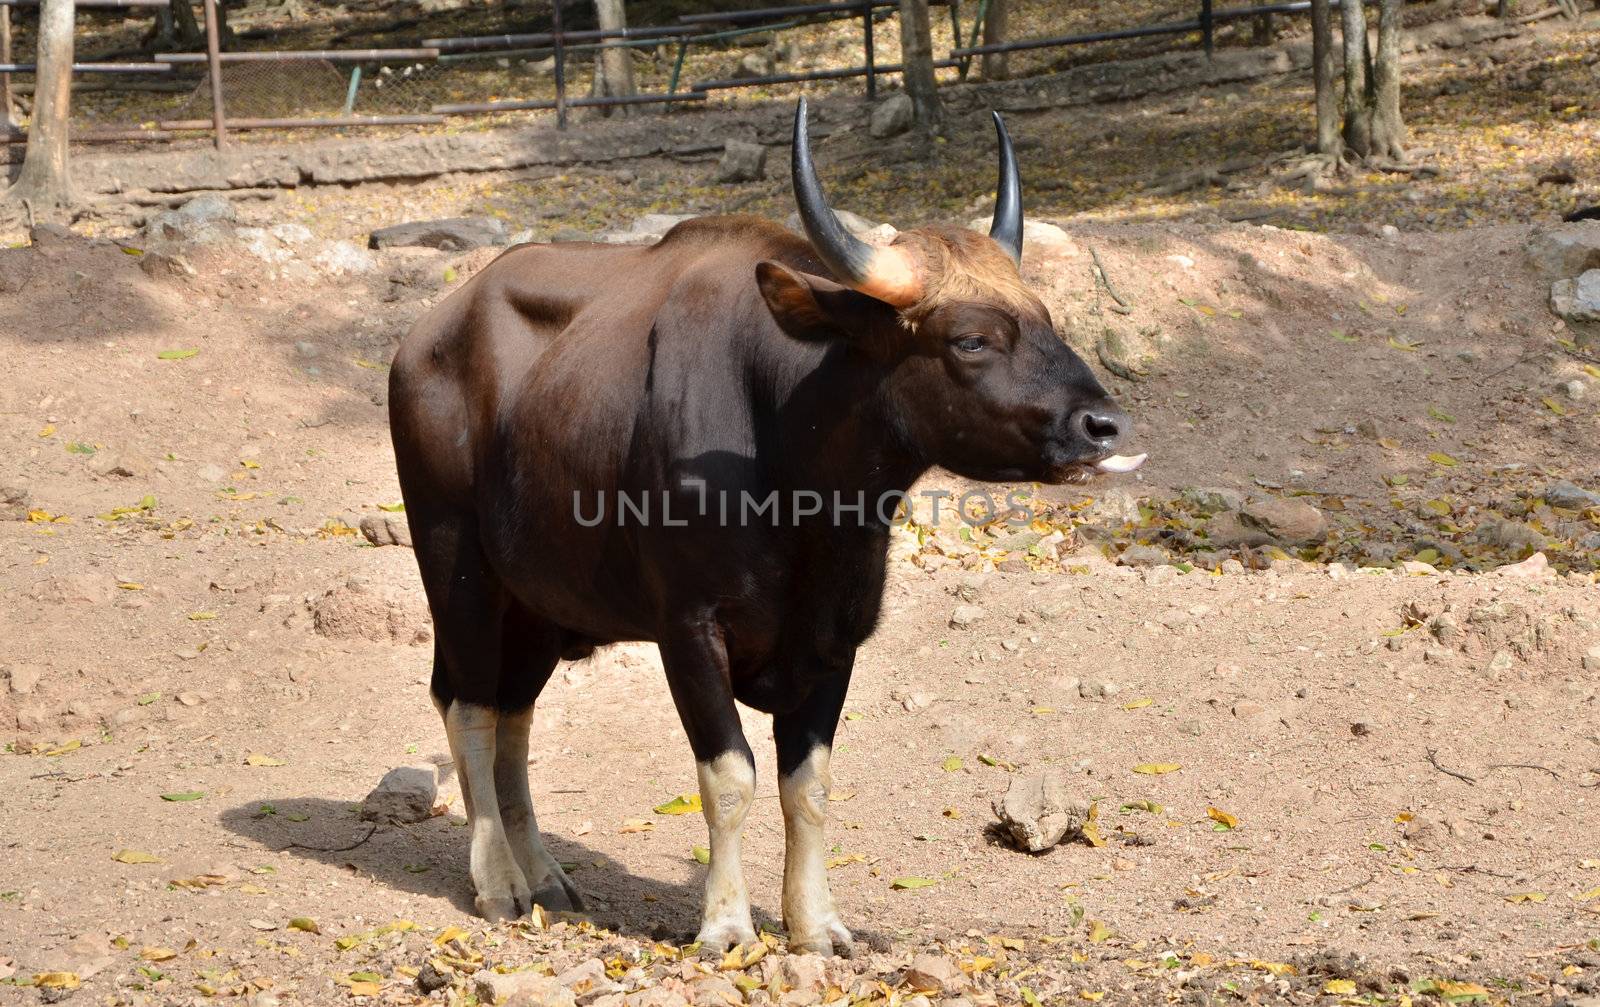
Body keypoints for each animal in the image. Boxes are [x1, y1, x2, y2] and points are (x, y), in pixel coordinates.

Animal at [385, 96, 1139, 947]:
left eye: (1045, 320)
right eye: (970, 338)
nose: (1104, 426)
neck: (793, 478)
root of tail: (426, 336)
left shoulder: (835, 637)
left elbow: (807, 784)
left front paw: (816, 923)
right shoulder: (688, 628)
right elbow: (729, 775)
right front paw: (724, 921)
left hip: (540, 605)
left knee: (513, 714)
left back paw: (544, 873)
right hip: (457, 568)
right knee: (470, 707)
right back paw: (500, 881)